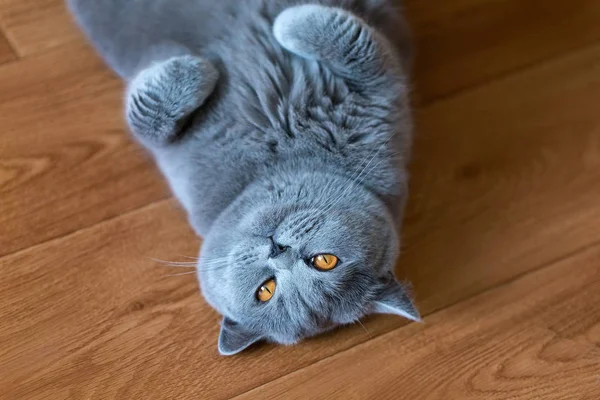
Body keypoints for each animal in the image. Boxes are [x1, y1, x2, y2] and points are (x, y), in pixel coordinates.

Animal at [68, 0, 420, 356]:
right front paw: (201, 70)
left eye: (324, 261)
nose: (278, 251)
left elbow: (357, 43)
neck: (282, 163)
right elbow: (148, 120)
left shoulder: (385, 89)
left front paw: (283, 26)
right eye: (266, 290)